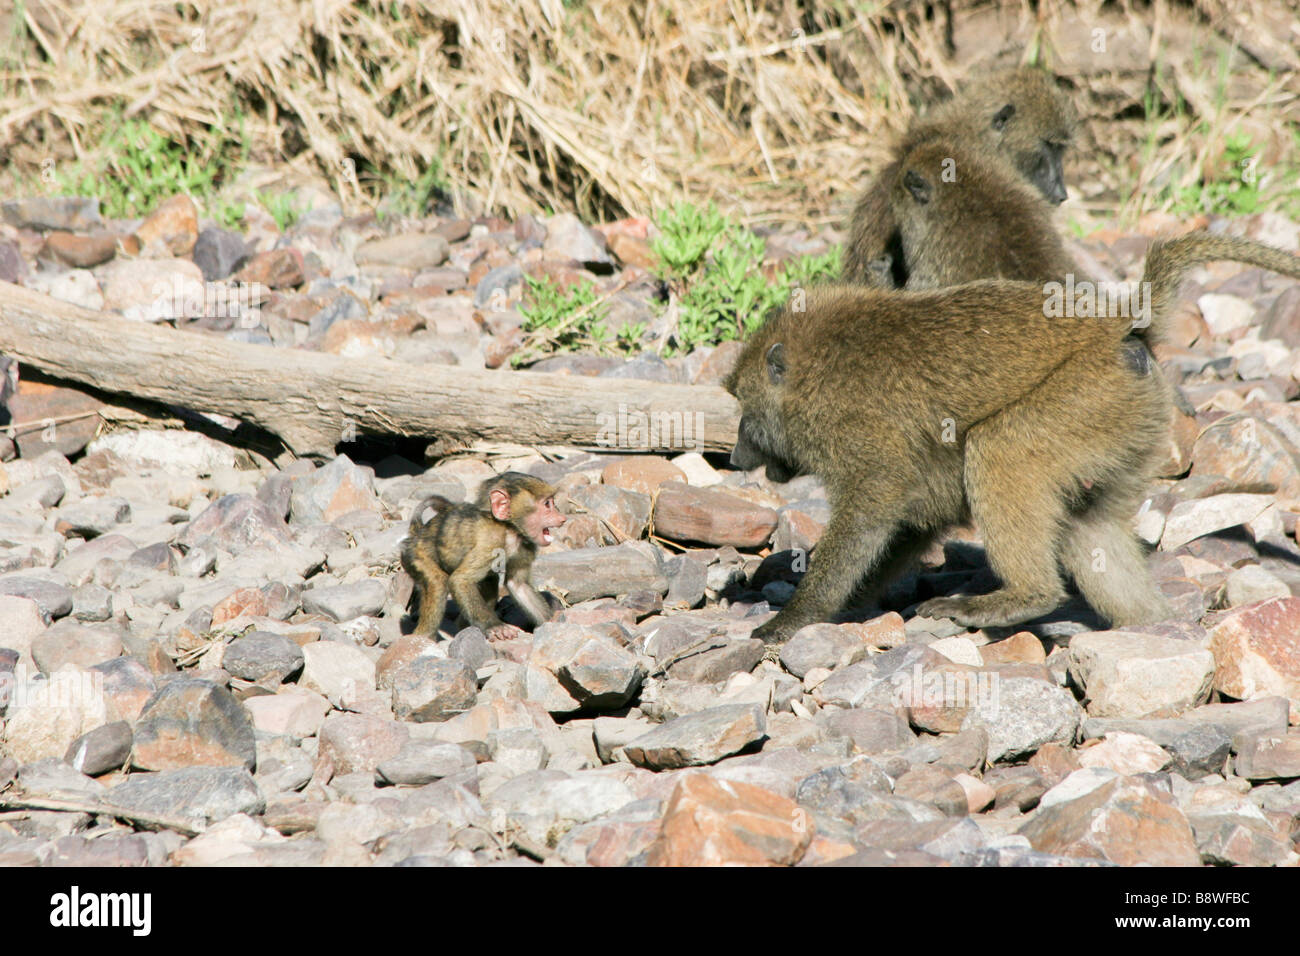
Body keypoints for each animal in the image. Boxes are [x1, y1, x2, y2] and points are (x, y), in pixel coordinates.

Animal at [400, 472, 566, 640]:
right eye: (547, 504)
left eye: (552, 502)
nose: (562, 518)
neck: (510, 529)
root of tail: (416, 535)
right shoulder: (491, 540)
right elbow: (460, 581)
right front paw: (495, 627)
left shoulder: (526, 547)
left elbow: (518, 585)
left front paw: (552, 621)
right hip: (415, 556)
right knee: (438, 582)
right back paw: (423, 637)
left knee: (490, 580)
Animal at [726, 233, 1300, 645]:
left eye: (743, 409)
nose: (734, 456)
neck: (815, 366)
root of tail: (1115, 326)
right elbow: (912, 522)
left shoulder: (855, 433)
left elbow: (872, 509)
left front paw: (796, 616)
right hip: (1125, 418)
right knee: (1087, 523)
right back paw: (1151, 627)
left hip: (1085, 393)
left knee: (999, 449)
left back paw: (1024, 598)